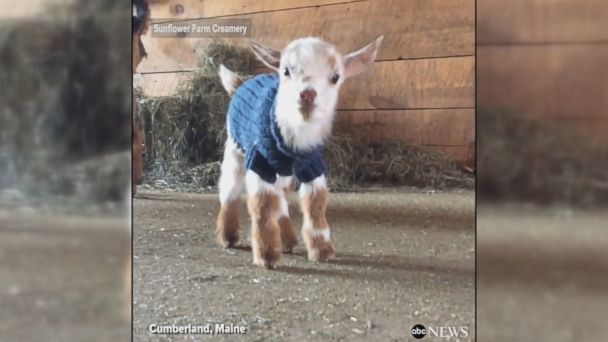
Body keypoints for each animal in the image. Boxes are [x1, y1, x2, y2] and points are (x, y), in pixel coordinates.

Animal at [216, 35, 382, 270]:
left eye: (335, 77)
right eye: (286, 71)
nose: (308, 94)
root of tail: (242, 83)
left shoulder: (312, 165)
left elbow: (316, 204)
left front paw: (322, 250)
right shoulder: (260, 162)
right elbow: (262, 206)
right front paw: (267, 256)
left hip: (282, 172)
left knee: (281, 198)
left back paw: (287, 240)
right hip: (235, 149)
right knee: (230, 190)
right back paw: (228, 237)